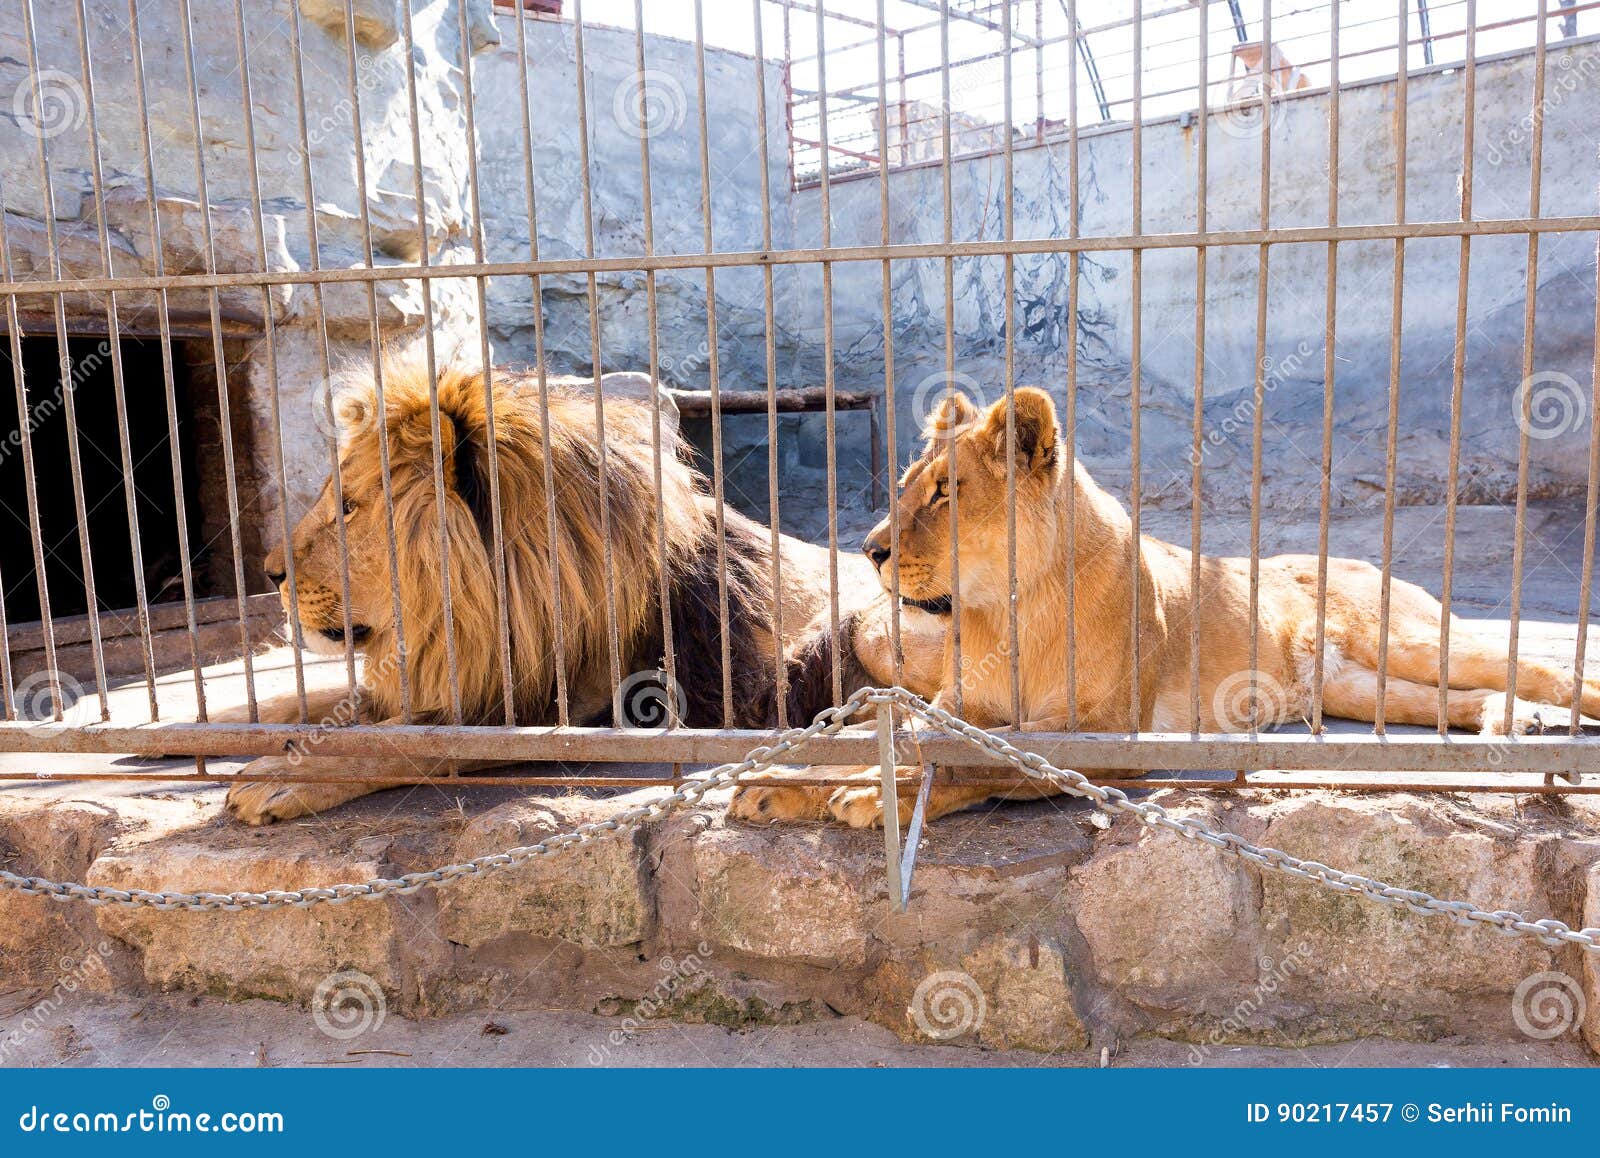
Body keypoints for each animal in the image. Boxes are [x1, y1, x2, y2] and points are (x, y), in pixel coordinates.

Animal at [228, 350, 947, 825]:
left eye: (348, 507)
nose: (270, 572)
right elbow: (301, 704)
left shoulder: (590, 712)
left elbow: (412, 744)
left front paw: (274, 777)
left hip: (872, 626)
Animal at [732, 383, 1600, 825]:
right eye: (907, 487)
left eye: (947, 493)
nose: (871, 548)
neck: (1006, 610)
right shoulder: (957, 702)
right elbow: (883, 734)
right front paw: (777, 784)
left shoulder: (1107, 733)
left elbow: (983, 759)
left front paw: (861, 794)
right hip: (1354, 684)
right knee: (1453, 699)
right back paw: (1509, 724)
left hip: (1404, 636)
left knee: (1540, 667)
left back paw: (1553, 718)